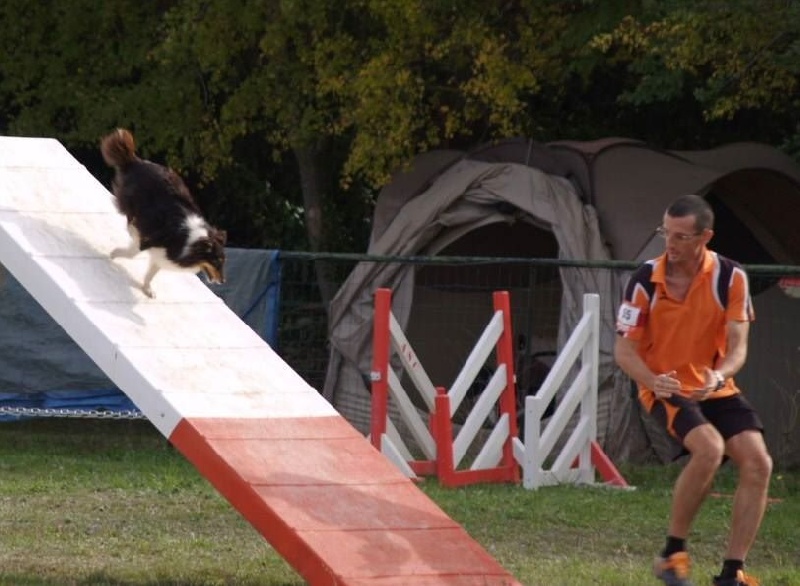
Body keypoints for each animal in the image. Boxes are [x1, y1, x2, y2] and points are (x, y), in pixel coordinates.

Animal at [100, 125, 227, 294]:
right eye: (217, 261)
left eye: (222, 261)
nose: (223, 281)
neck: (190, 241)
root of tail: (136, 161)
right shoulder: (149, 240)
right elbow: (133, 253)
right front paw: (114, 254)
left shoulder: (162, 256)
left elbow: (152, 273)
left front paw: (148, 290)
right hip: (136, 202)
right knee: (130, 216)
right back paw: (130, 228)